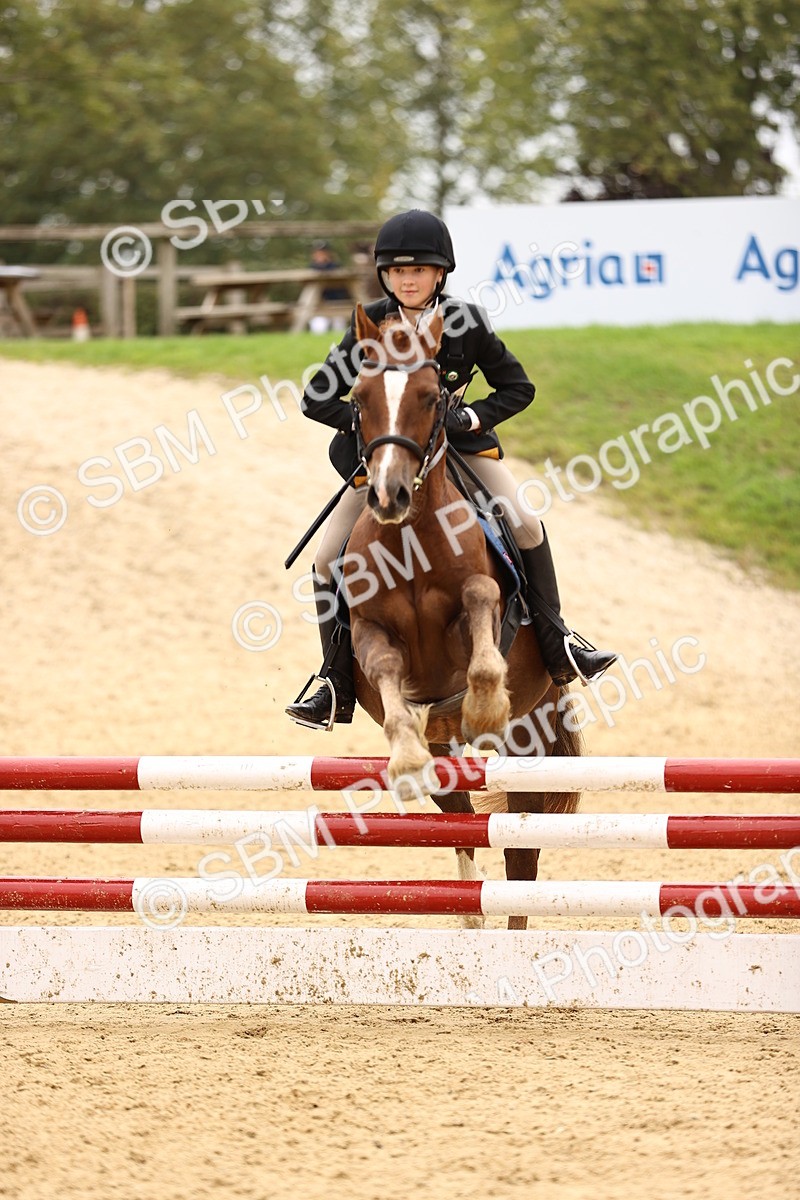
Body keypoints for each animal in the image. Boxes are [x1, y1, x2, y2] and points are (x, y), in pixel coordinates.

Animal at [342, 304, 582, 929]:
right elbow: (385, 671)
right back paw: (471, 917)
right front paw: (404, 757)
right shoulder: (370, 632)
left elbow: (479, 610)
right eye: (358, 398)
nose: (388, 496)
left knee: (521, 851)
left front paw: (483, 706)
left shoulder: (481, 603)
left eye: (432, 397)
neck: (409, 540)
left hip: (531, 740)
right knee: (464, 823)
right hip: (450, 753)